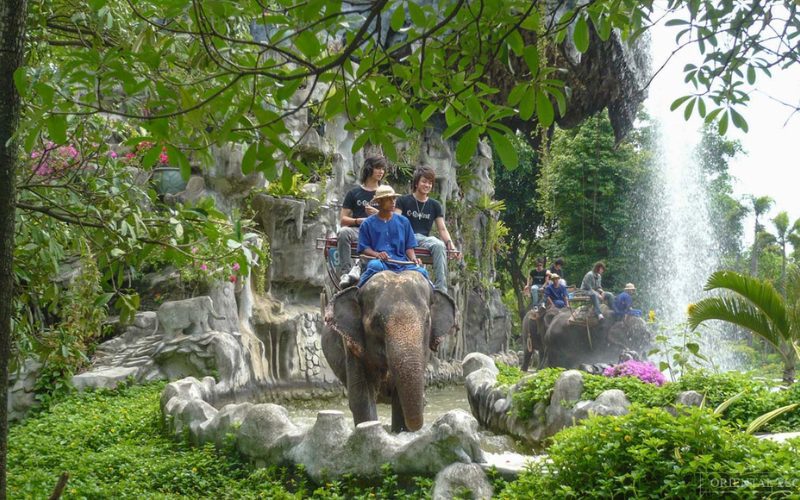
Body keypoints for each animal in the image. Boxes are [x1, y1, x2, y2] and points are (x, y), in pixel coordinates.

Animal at [322, 270, 457, 432]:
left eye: (427, 322)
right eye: (377, 323)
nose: (425, 401)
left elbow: (399, 401)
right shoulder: (352, 346)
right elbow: (362, 399)